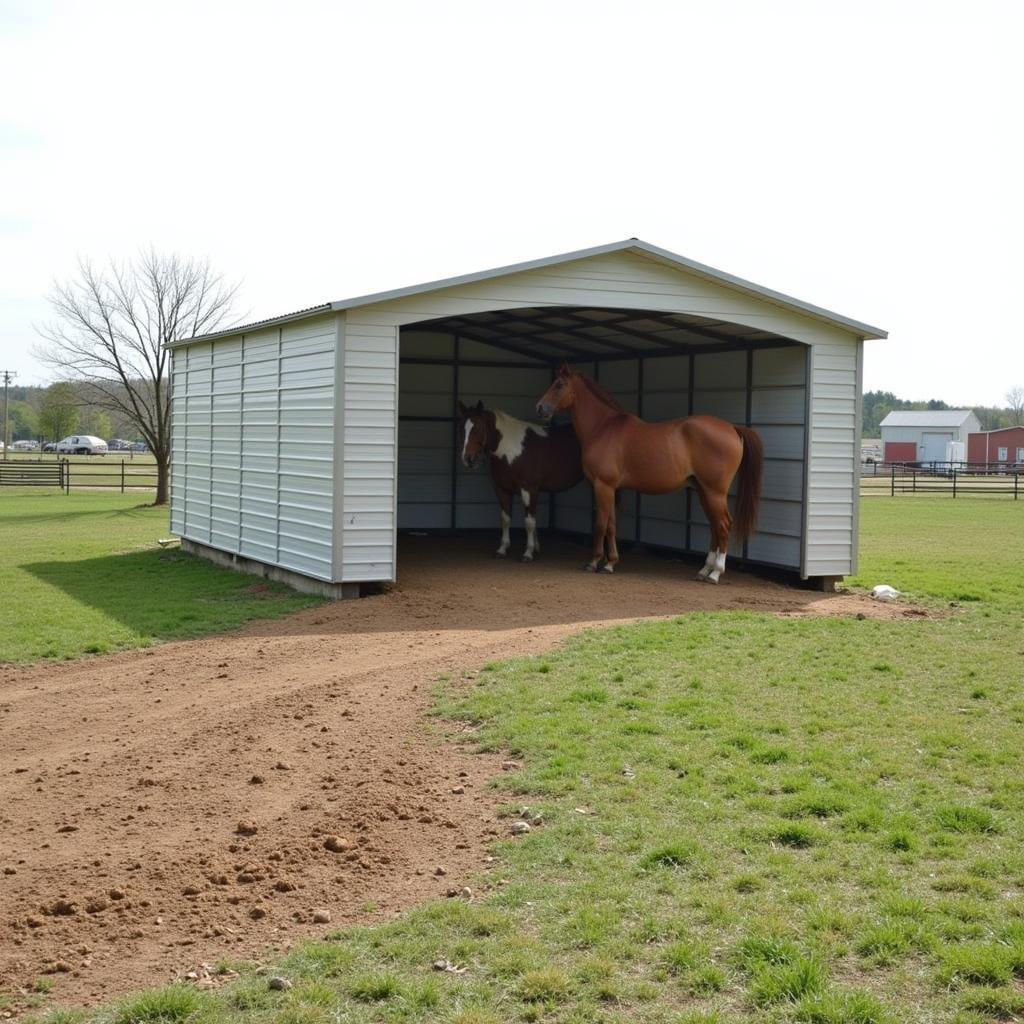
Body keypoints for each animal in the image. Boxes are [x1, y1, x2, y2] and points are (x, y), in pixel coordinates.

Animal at [458, 399, 581, 561]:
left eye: (477, 427)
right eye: (461, 428)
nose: (468, 459)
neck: (512, 450)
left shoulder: (529, 489)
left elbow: (529, 521)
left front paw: (528, 553)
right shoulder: (502, 489)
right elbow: (506, 519)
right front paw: (502, 549)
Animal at [536, 364, 761, 581]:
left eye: (559, 385)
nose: (539, 408)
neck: (602, 428)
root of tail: (732, 428)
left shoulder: (603, 486)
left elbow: (600, 524)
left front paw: (594, 562)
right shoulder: (612, 488)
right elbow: (611, 525)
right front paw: (610, 564)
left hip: (715, 492)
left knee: (723, 525)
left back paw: (715, 573)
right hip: (704, 491)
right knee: (715, 526)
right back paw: (703, 571)